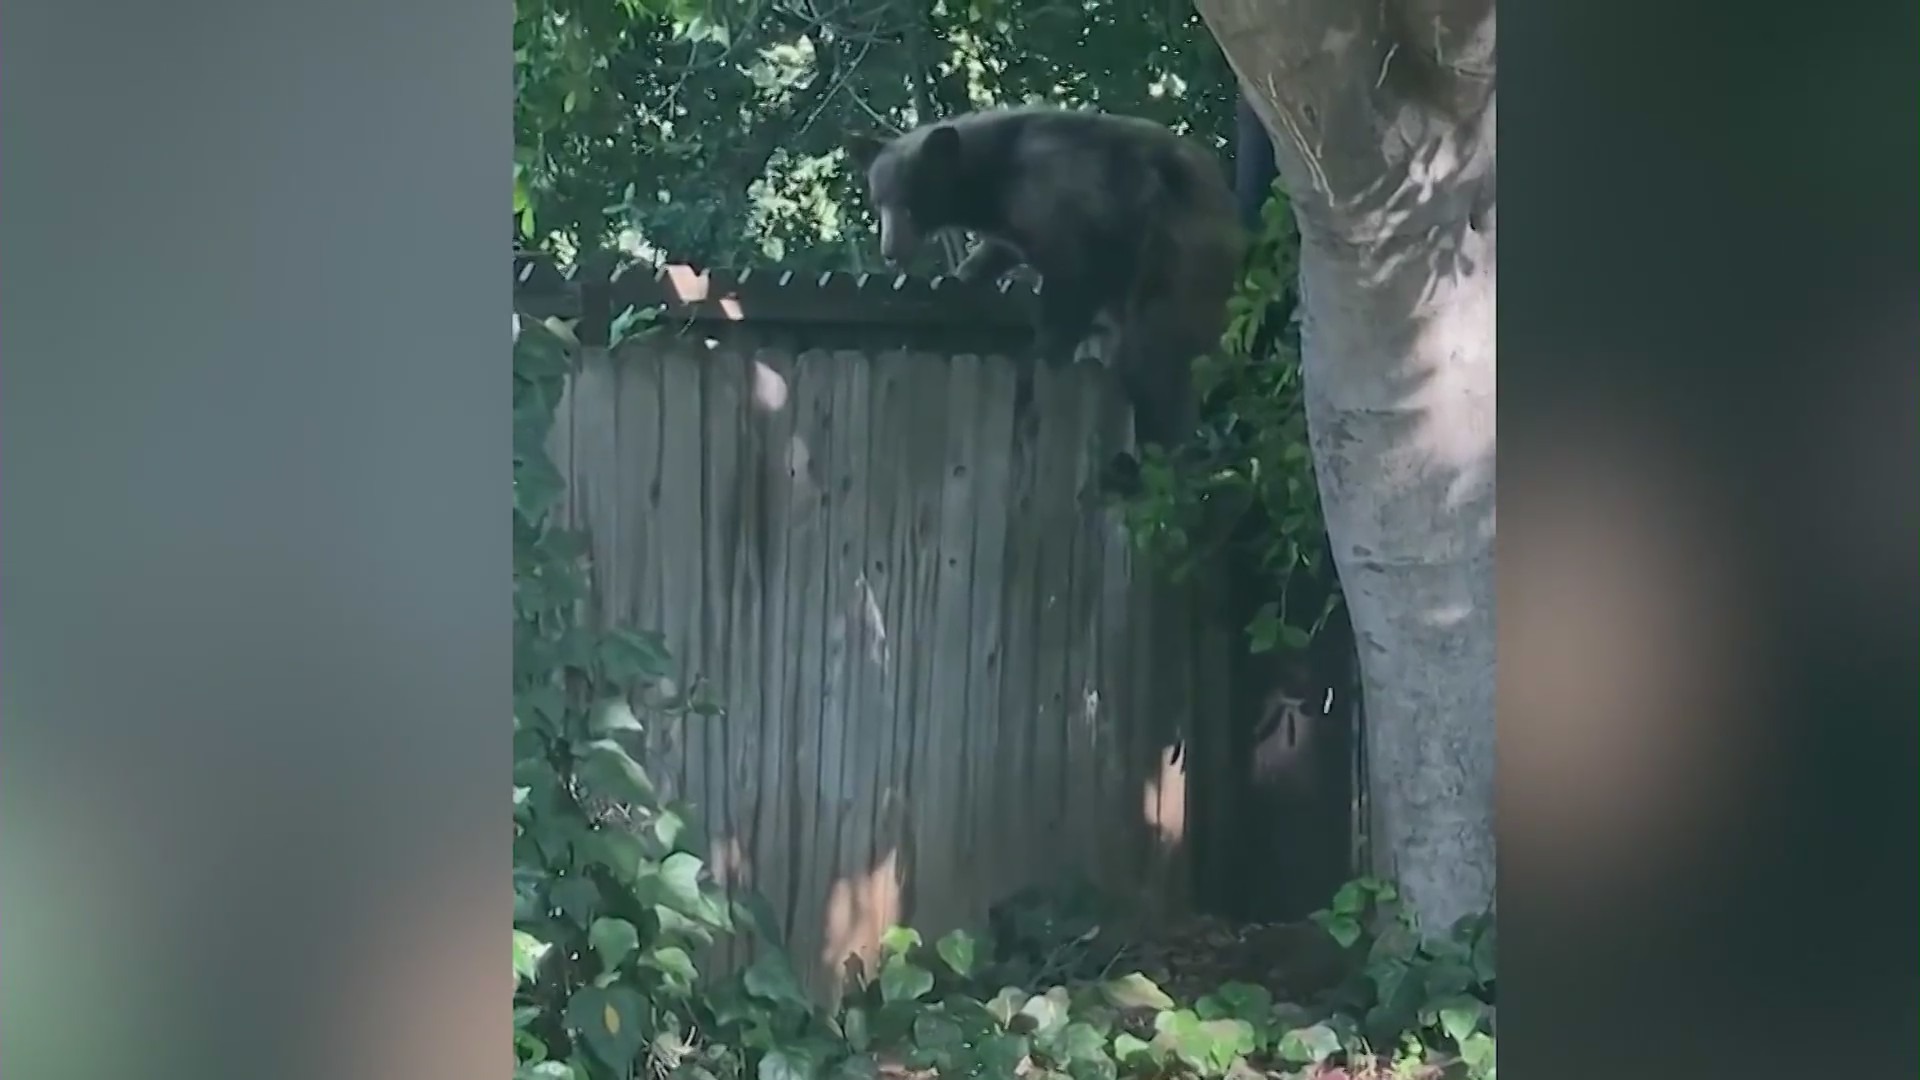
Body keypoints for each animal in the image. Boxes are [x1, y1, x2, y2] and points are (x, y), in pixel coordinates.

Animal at [852, 102, 1244, 451]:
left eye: (911, 203)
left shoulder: (1060, 201)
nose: (891, 251)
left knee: (1154, 345)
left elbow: (1072, 279)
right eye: (879, 202)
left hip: (1177, 251)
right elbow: (1000, 250)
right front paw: (965, 273)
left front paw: (1042, 353)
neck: (994, 178)